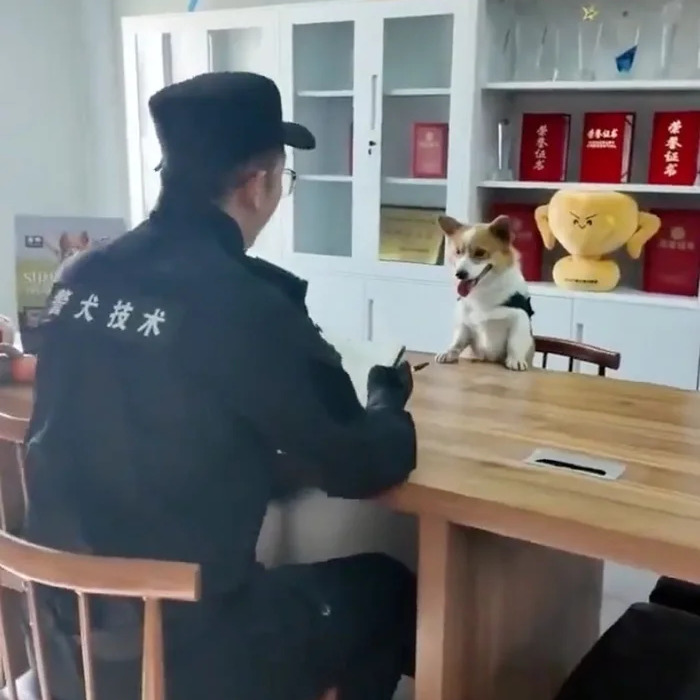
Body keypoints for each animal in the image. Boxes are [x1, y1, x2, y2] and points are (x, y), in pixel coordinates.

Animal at [434, 215, 532, 372]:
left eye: (480, 253)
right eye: (458, 252)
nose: (459, 274)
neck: (485, 290)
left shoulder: (519, 318)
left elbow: (515, 342)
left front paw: (515, 360)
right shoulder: (465, 324)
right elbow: (457, 341)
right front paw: (448, 353)